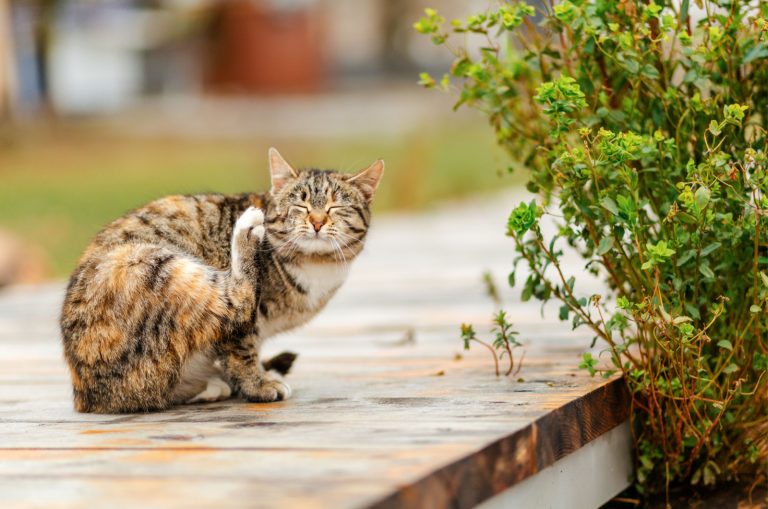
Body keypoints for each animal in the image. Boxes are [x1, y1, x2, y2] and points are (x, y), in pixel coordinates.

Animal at [59, 147, 384, 412]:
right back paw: (245, 232)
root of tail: (87, 396)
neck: (316, 265)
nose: (316, 222)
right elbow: (241, 350)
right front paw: (258, 385)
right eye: (300, 206)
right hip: (151, 265)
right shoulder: (243, 330)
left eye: (335, 207)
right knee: (235, 300)